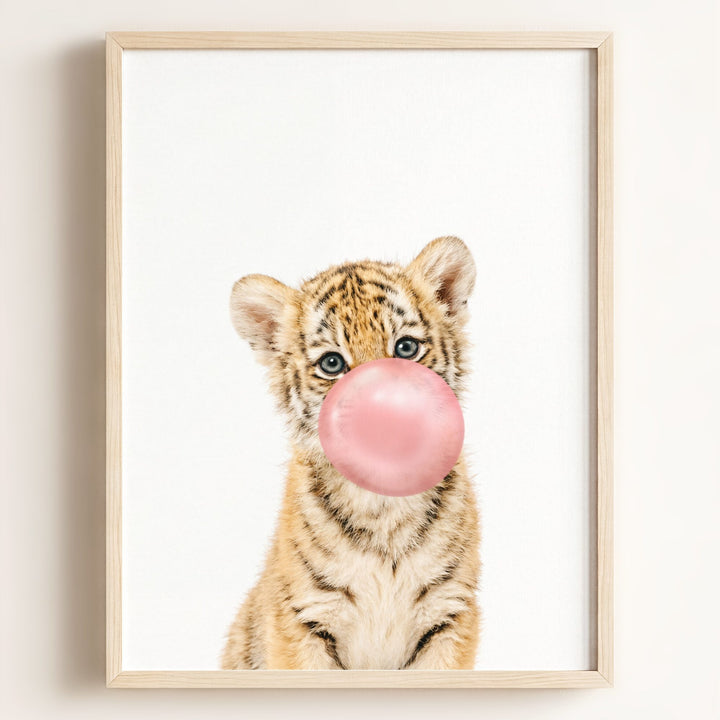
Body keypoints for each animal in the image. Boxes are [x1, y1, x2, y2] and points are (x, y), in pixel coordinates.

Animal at [221, 236, 480, 670]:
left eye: (405, 348)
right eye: (332, 363)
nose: (383, 413)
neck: (384, 506)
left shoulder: (450, 612)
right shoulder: (303, 618)